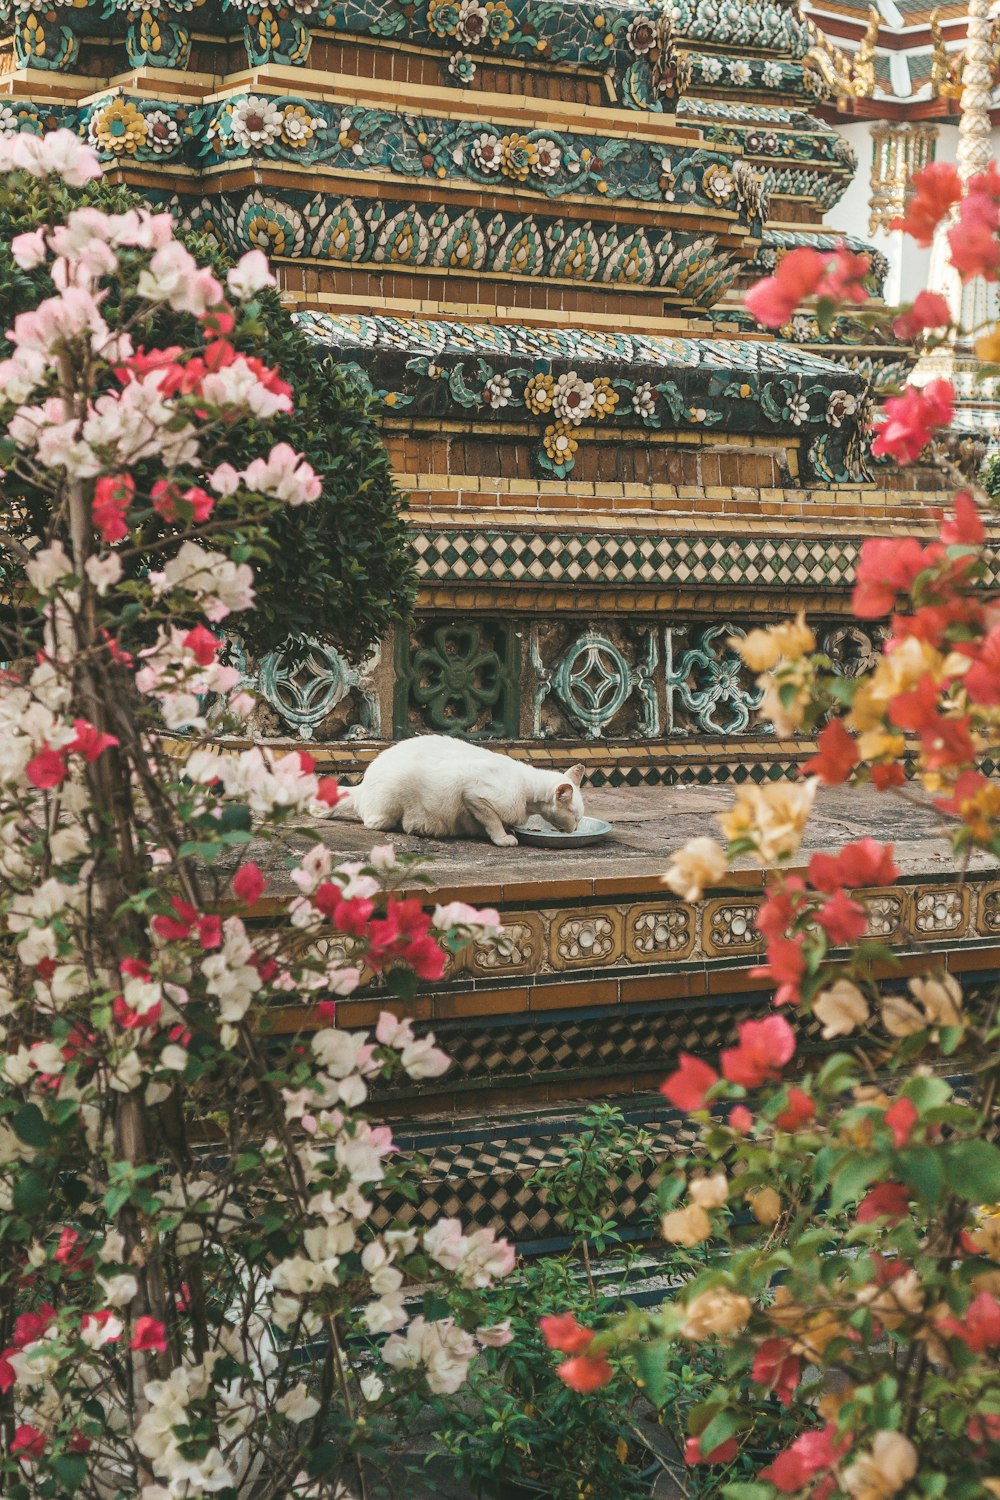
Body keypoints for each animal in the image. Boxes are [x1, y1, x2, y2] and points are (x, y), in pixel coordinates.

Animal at [334, 735, 587, 846]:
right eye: (575, 817)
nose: (575, 829)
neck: (529, 798)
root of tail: (363, 784)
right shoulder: (475, 795)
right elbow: (493, 822)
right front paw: (504, 838)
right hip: (391, 803)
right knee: (376, 821)